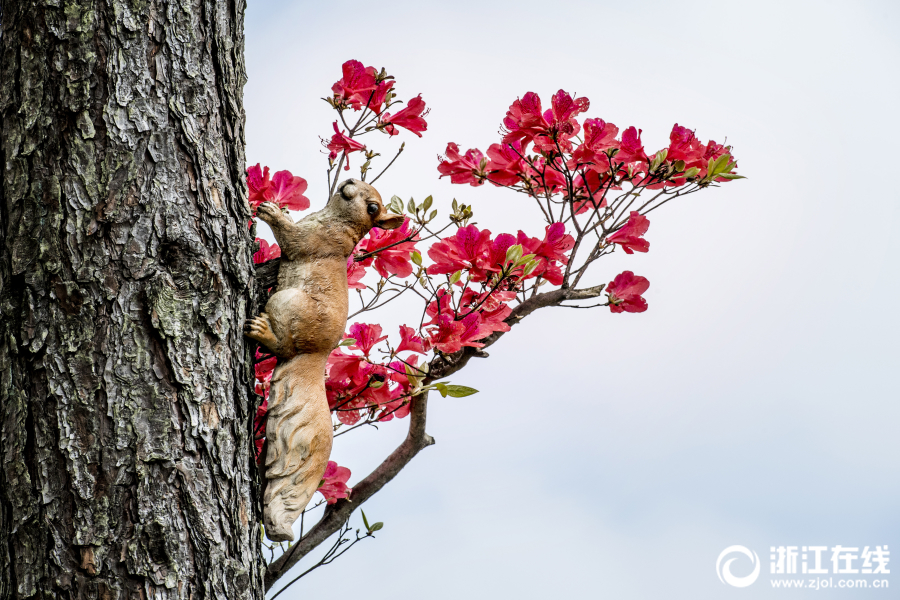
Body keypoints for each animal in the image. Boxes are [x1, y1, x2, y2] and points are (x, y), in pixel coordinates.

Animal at [244, 179, 402, 544]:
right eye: (360, 180)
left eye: (373, 208)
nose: (348, 182)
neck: (334, 218)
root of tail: (314, 359)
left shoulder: (319, 241)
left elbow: (293, 239)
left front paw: (272, 211)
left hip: (287, 303)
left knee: (283, 347)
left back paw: (263, 333)